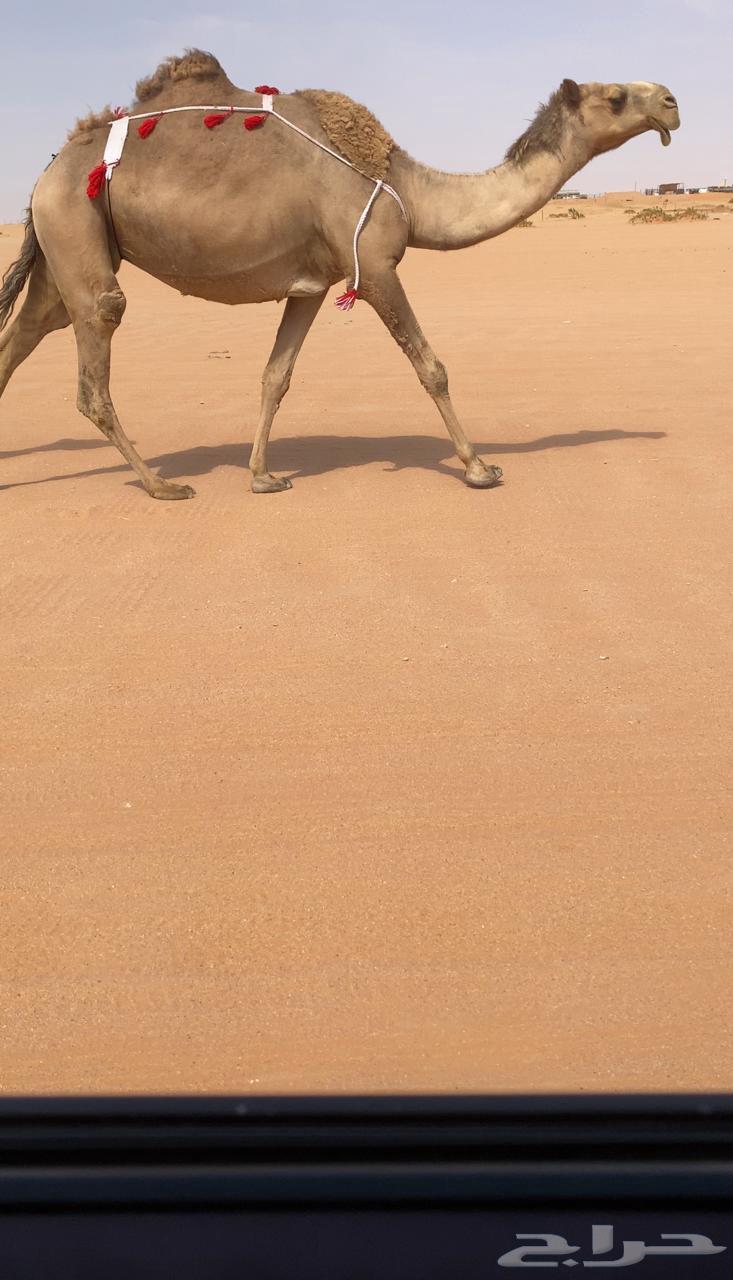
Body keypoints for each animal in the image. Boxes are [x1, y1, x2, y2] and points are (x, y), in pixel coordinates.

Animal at [0, 53, 679, 499]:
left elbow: (276, 376)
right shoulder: (375, 267)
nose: (672, 101)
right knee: (97, 344)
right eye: (616, 96)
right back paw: (161, 485)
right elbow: (431, 366)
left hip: (64, 250)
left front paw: (262, 476)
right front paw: (479, 467)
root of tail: (46, 171)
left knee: (24, 333)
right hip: (75, 222)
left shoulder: (313, 284)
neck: (408, 185)